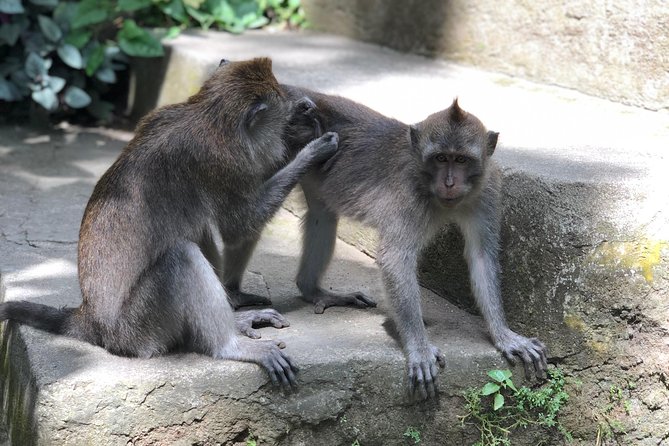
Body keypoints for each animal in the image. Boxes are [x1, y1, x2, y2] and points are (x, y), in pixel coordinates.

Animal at [0, 58, 340, 389]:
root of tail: (91, 321)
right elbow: (238, 226)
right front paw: (310, 150)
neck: (208, 116)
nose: (306, 106)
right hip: (140, 330)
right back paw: (229, 345)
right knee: (181, 256)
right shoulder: (221, 162)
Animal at [269, 86, 548, 400]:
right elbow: (395, 258)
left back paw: (313, 290)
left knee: (322, 215)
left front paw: (504, 335)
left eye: (461, 160)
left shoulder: (487, 188)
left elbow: (481, 257)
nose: (449, 183)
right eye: (440, 158)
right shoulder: (407, 193)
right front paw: (419, 348)